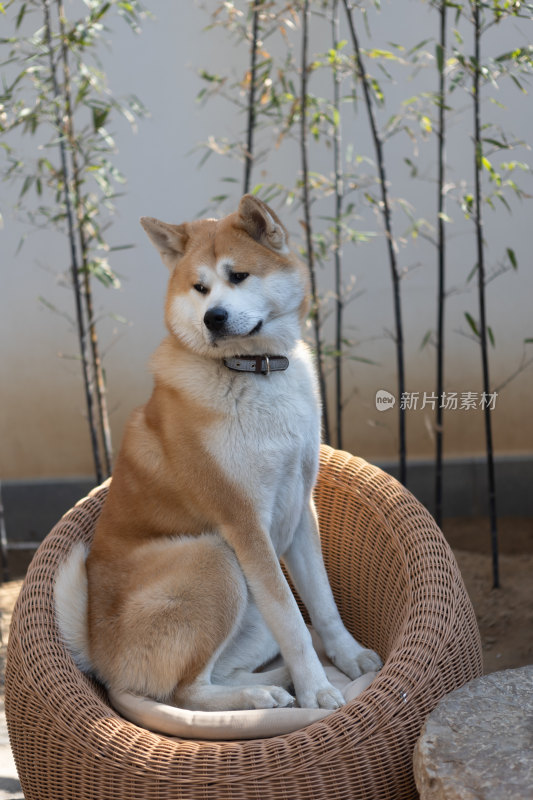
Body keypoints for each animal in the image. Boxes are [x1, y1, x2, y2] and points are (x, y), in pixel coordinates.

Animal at [55, 195, 382, 712]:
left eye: (239, 276)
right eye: (200, 287)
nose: (214, 317)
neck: (255, 369)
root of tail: (99, 651)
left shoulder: (299, 506)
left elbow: (322, 604)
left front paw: (346, 657)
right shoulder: (244, 524)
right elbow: (294, 622)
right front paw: (318, 690)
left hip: (250, 617)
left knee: (217, 673)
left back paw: (278, 685)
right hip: (215, 559)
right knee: (185, 692)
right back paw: (262, 694)